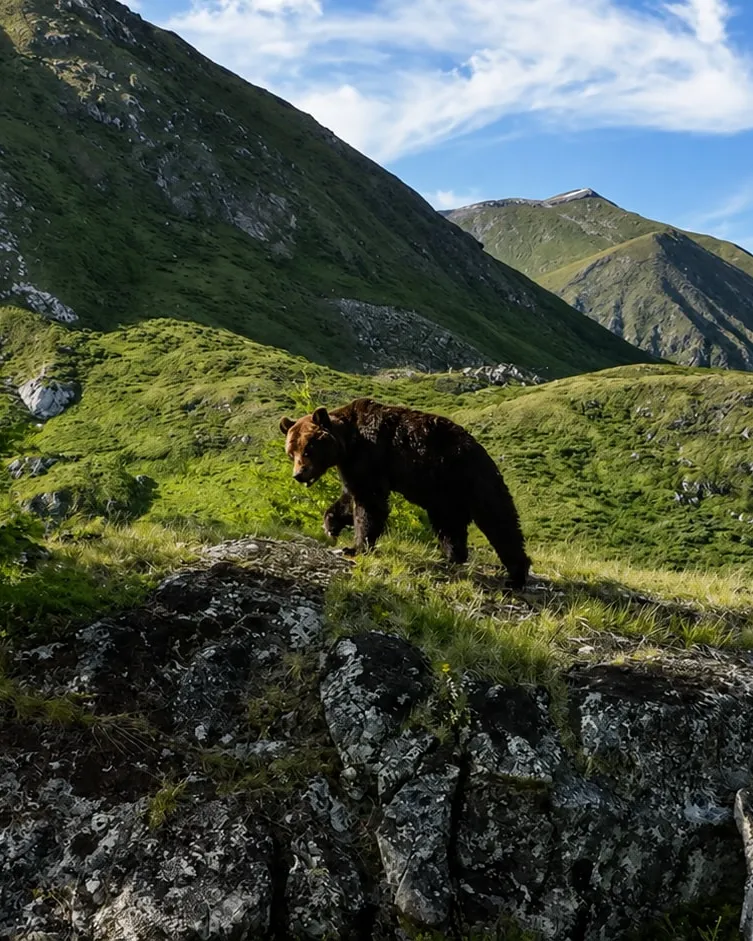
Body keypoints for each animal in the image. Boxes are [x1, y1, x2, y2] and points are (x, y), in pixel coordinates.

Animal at [280, 397, 531, 588]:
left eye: (308, 449)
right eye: (291, 453)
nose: (299, 474)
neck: (348, 442)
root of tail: (480, 450)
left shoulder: (370, 455)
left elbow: (369, 502)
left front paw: (355, 546)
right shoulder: (353, 465)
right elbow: (351, 496)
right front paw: (331, 524)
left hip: (470, 479)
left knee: (498, 519)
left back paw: (516, 574)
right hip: (445, 495)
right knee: (450, 526)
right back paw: (451, 557)